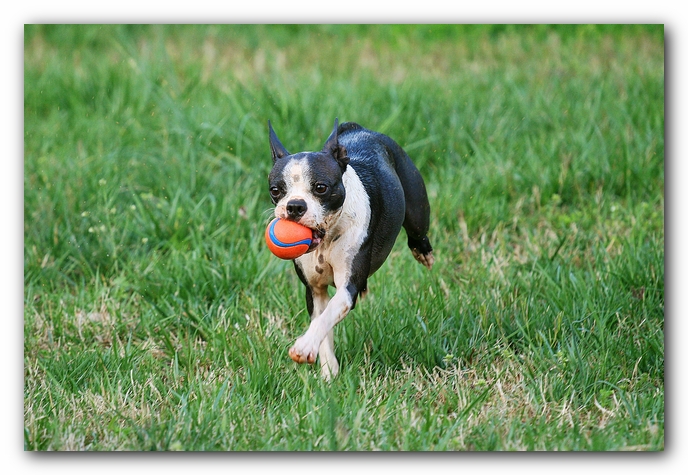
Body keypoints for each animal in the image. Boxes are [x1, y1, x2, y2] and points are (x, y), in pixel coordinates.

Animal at [266, 119, 432, 380]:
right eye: (275, 190)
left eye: (321, 187)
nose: (294, 206)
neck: (326, 239)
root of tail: (358, 129)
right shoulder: (315, 291)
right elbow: (322, 321)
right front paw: (328, 371)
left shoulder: (347, 287)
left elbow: (327, 316)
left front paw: (304, 347)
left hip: (416, 208)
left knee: (418, 231)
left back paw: (423, 252)